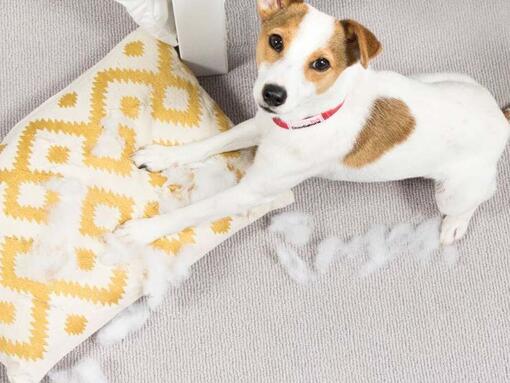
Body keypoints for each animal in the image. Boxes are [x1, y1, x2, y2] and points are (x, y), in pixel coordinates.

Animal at [115, 0, 510, 246]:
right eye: (275, 41)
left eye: (321, 64)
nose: (273, 95)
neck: (306, 119)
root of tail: (499, 115)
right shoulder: (259, 125)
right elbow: (212, 143)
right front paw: (163, 157)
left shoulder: (252, 190)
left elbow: (198, 210)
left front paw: (142, 232)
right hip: (440, 78)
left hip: (454, 192)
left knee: (478, 198)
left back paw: (455, 225)